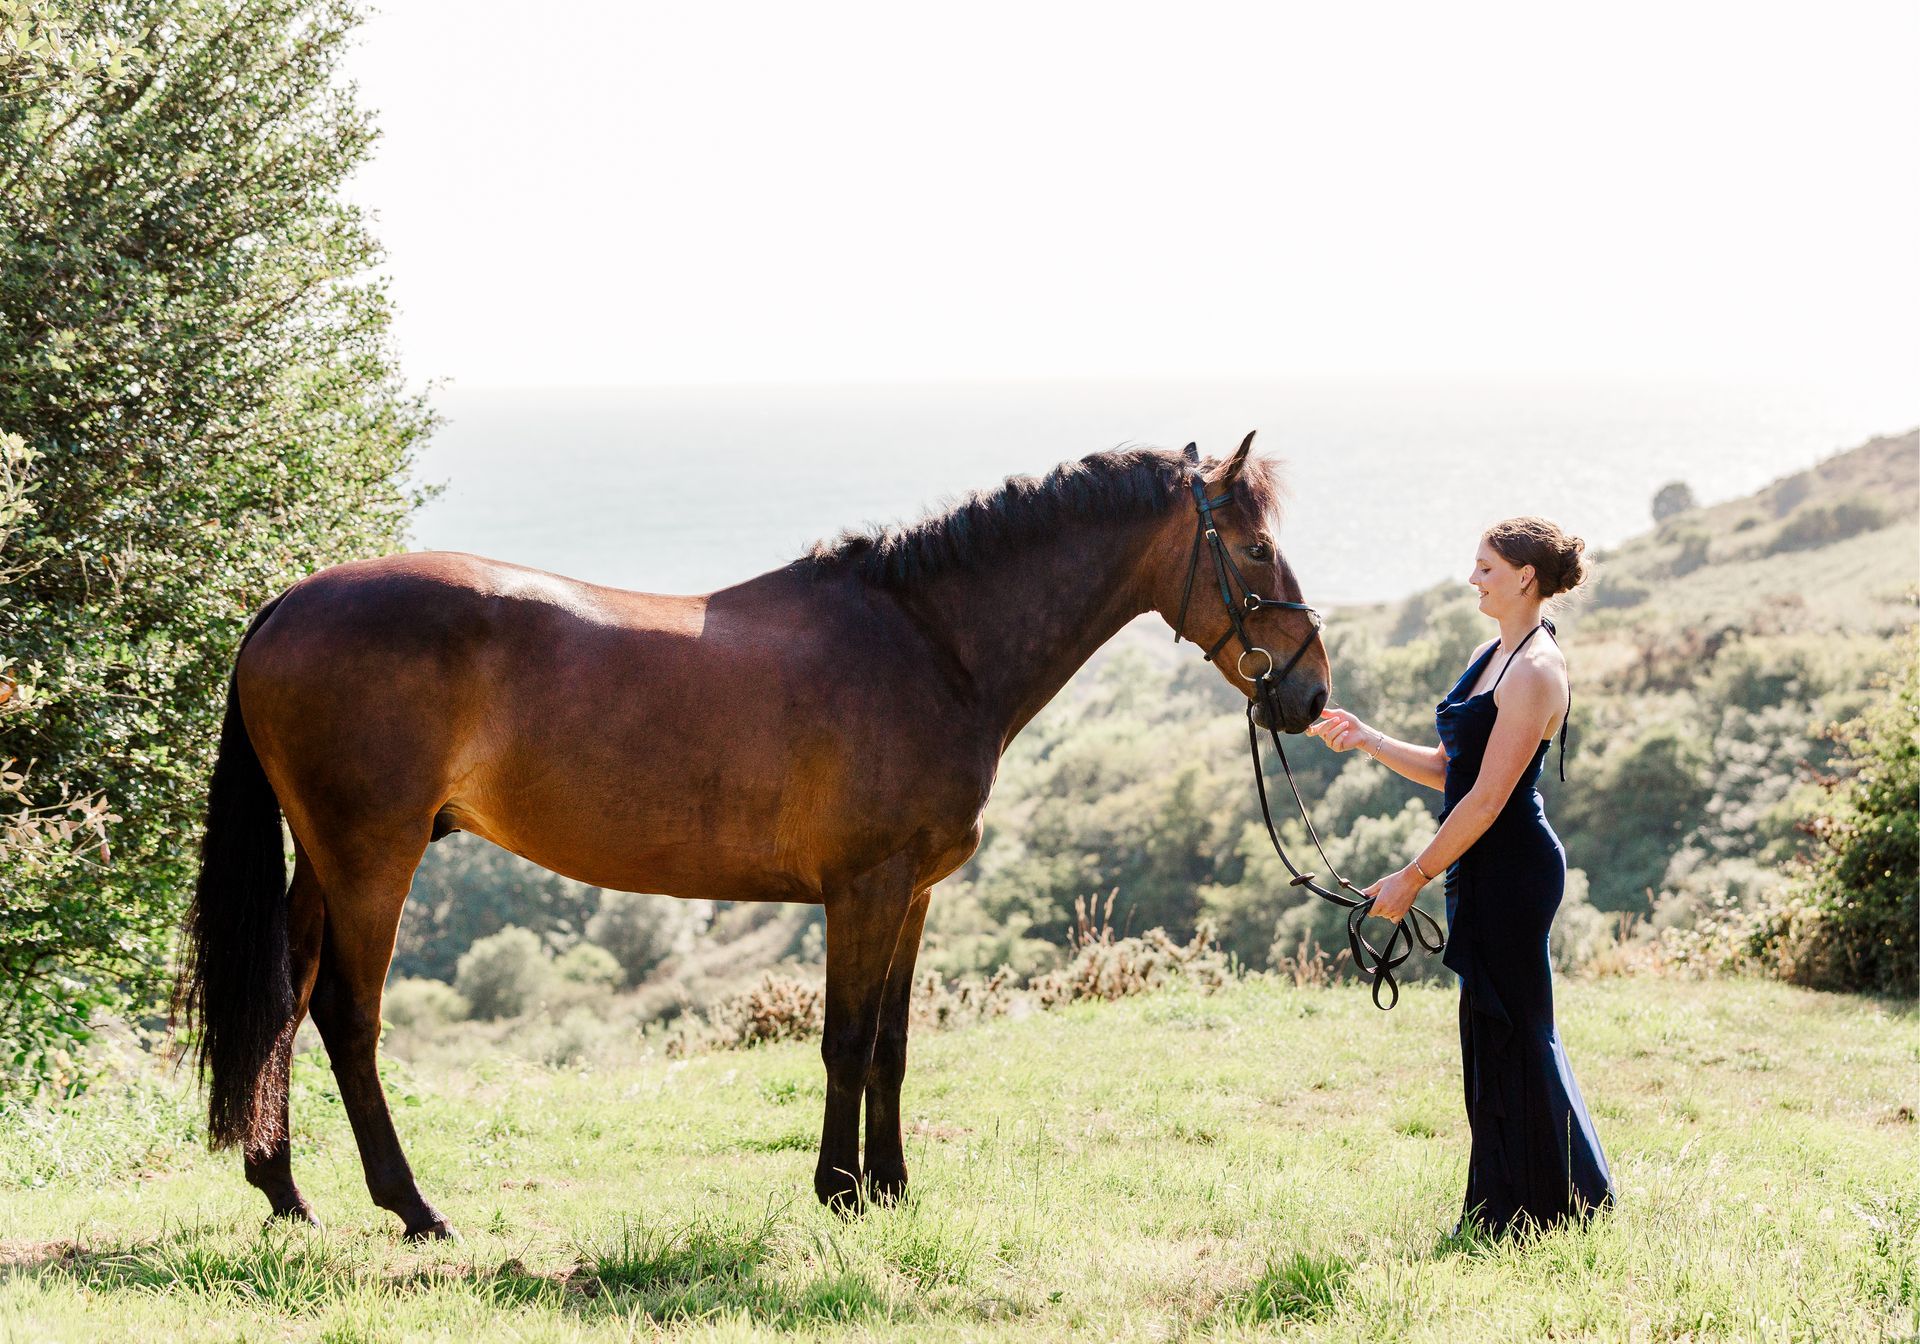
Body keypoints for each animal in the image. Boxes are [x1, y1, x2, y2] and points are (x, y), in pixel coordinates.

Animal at [177, 433, 1330, 1239]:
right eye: (1257, 546)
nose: (1311, 693)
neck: (930, 643)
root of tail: (285, 603)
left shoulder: (913, 893)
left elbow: (893, 1044)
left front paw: (891, 1186)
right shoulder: (863, 888)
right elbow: (845, 1040)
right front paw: (838, 1191)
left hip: (326, 859)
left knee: (285, 994)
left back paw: (283, 1192)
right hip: (375, 855)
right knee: (346, 1014)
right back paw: (412, 1208)